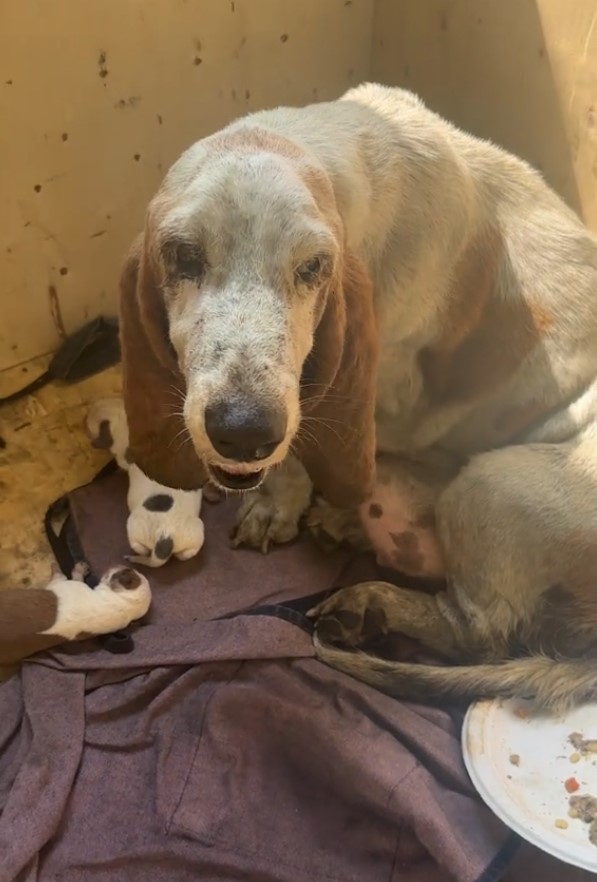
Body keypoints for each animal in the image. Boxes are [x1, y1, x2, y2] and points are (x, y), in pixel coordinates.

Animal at [0, 560, 151, 664]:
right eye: (130, 569)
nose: (124, 565)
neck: (122, 603)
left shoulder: (60, 584)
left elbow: (62, 575)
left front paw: (76, 568)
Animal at [84, 398, 205, 568]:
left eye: (89, 421)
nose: (85, 414)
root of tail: (165, 538)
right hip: (196, 531)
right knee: (187, 553)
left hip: (134, 527)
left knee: (139, 547)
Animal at [118, 79, 596, 704]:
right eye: (183, 255)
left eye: (314, 267)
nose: (243, 431)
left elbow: (301, 449)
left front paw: (279, 504)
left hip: (494, 483)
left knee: (480, 631)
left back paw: (372, 602)